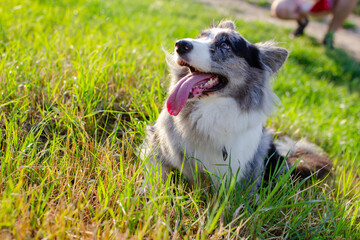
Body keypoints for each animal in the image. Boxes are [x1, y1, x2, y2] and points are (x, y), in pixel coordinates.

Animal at [141, 20, 332, 193]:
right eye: (200, 36)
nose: (179, 45)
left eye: (225, 44)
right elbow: (157, 172)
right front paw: (148, 192)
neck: (211, 108)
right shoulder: (157, 144)